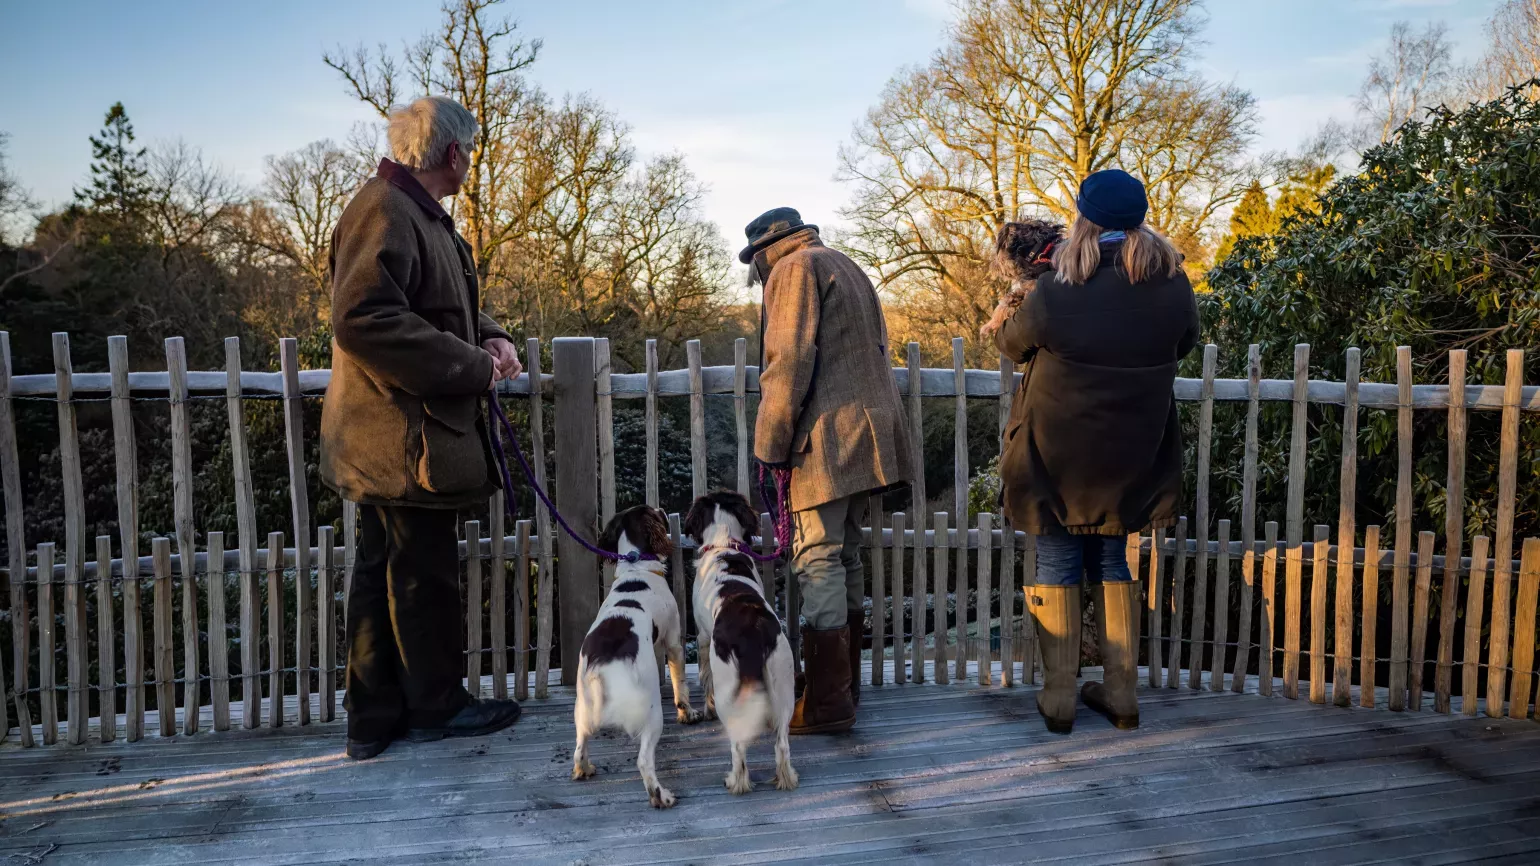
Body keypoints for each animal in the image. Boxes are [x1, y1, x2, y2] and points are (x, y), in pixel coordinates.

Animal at [572, 502, 705, 807]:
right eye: (652, 511)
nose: (661, 507)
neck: (636, 567)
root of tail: (602, 665)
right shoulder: (674, 640)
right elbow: (680, 684)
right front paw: (689, 713)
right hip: (650, 712)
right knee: (644, 761)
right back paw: (661, 796)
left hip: (582, 707)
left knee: (579, 745)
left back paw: (584, 769)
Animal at [689, 490, 800, 795]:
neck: (724, 543)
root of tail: (753, 626)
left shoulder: (703, 638)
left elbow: (705, 679)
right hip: (782, 679)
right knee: (782, 744)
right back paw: (786, 778)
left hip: (729, 684)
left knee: (738, 745)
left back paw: (736, 781)